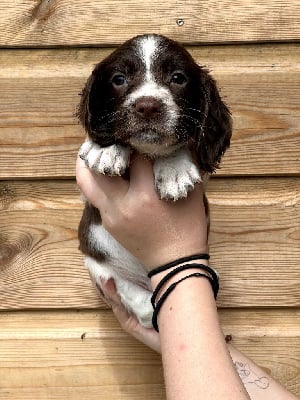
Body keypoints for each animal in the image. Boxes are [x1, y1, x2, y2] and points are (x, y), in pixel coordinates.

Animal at [77, 34, 232, 326]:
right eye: (119, 79)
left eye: (178, 77)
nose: (147, 106)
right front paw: (105, 149)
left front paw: (174, 170)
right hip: (98, 265)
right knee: (136, 299)